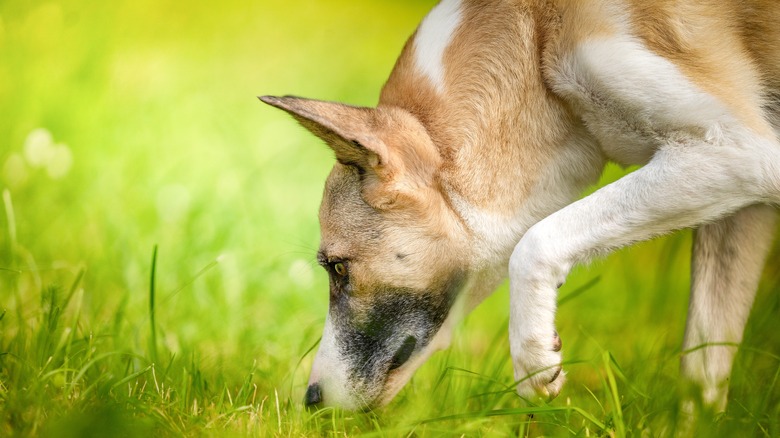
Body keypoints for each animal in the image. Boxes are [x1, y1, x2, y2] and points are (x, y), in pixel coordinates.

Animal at [262, 0, 780, 410]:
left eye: (338, 268)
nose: (310, 402)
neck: (536, 40)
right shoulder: (743, 206)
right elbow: (702, 371)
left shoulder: (731, 151)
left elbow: (534, 243)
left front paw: (533, 359)